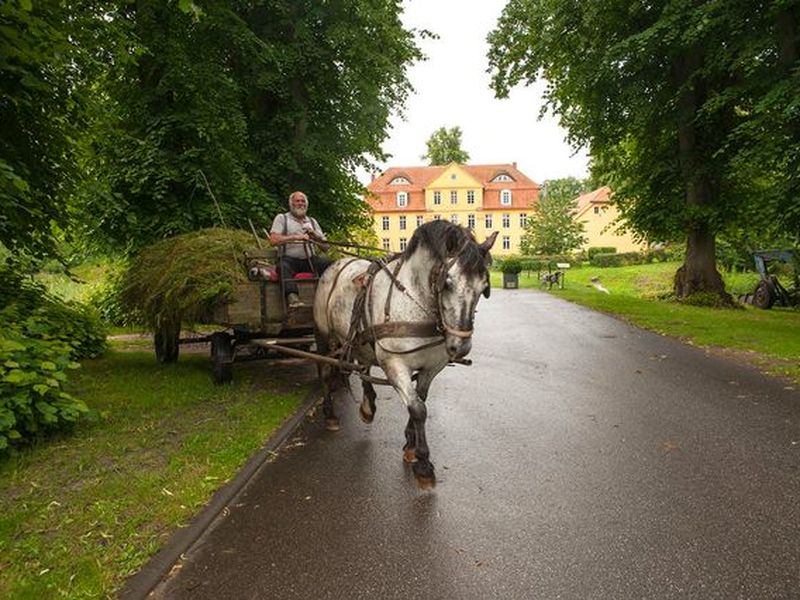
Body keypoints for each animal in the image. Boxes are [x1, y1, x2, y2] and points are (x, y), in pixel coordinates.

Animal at [310, 220, 494, 488]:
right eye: (447, 283)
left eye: (483, 287)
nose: (460, 348)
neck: (414, 301)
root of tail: (336, 263)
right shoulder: (394, 364)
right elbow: (418, 409)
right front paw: (424, 464)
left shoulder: (431, 367)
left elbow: (420, 399)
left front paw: (410, 445)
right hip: (325, 336)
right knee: (325, 370)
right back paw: (330, 414)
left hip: (361, 339)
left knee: (364, 366)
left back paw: (367, 407)